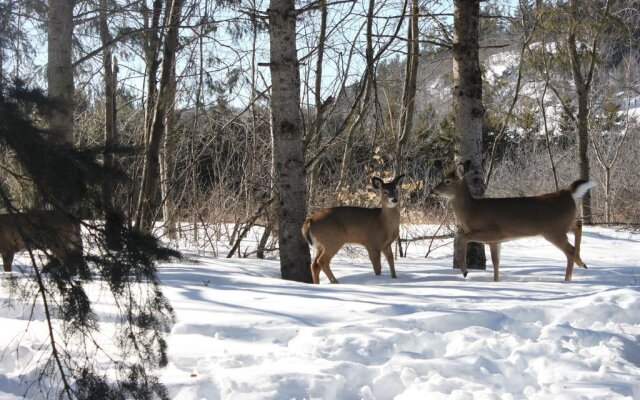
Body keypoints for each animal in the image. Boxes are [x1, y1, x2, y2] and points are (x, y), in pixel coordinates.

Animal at [432, 160, 596, 282]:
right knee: (578, 226)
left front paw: (465, 271)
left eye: (447, 181)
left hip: (553, 230)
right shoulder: (495, 240)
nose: (433, 191)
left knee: (570, 250)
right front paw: (496, 281)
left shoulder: (492, 231)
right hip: (565, 224)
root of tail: (568, 193)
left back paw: (568, 278)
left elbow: (463, 237)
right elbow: (496, 262)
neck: (472, 211)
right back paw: (582, 263)